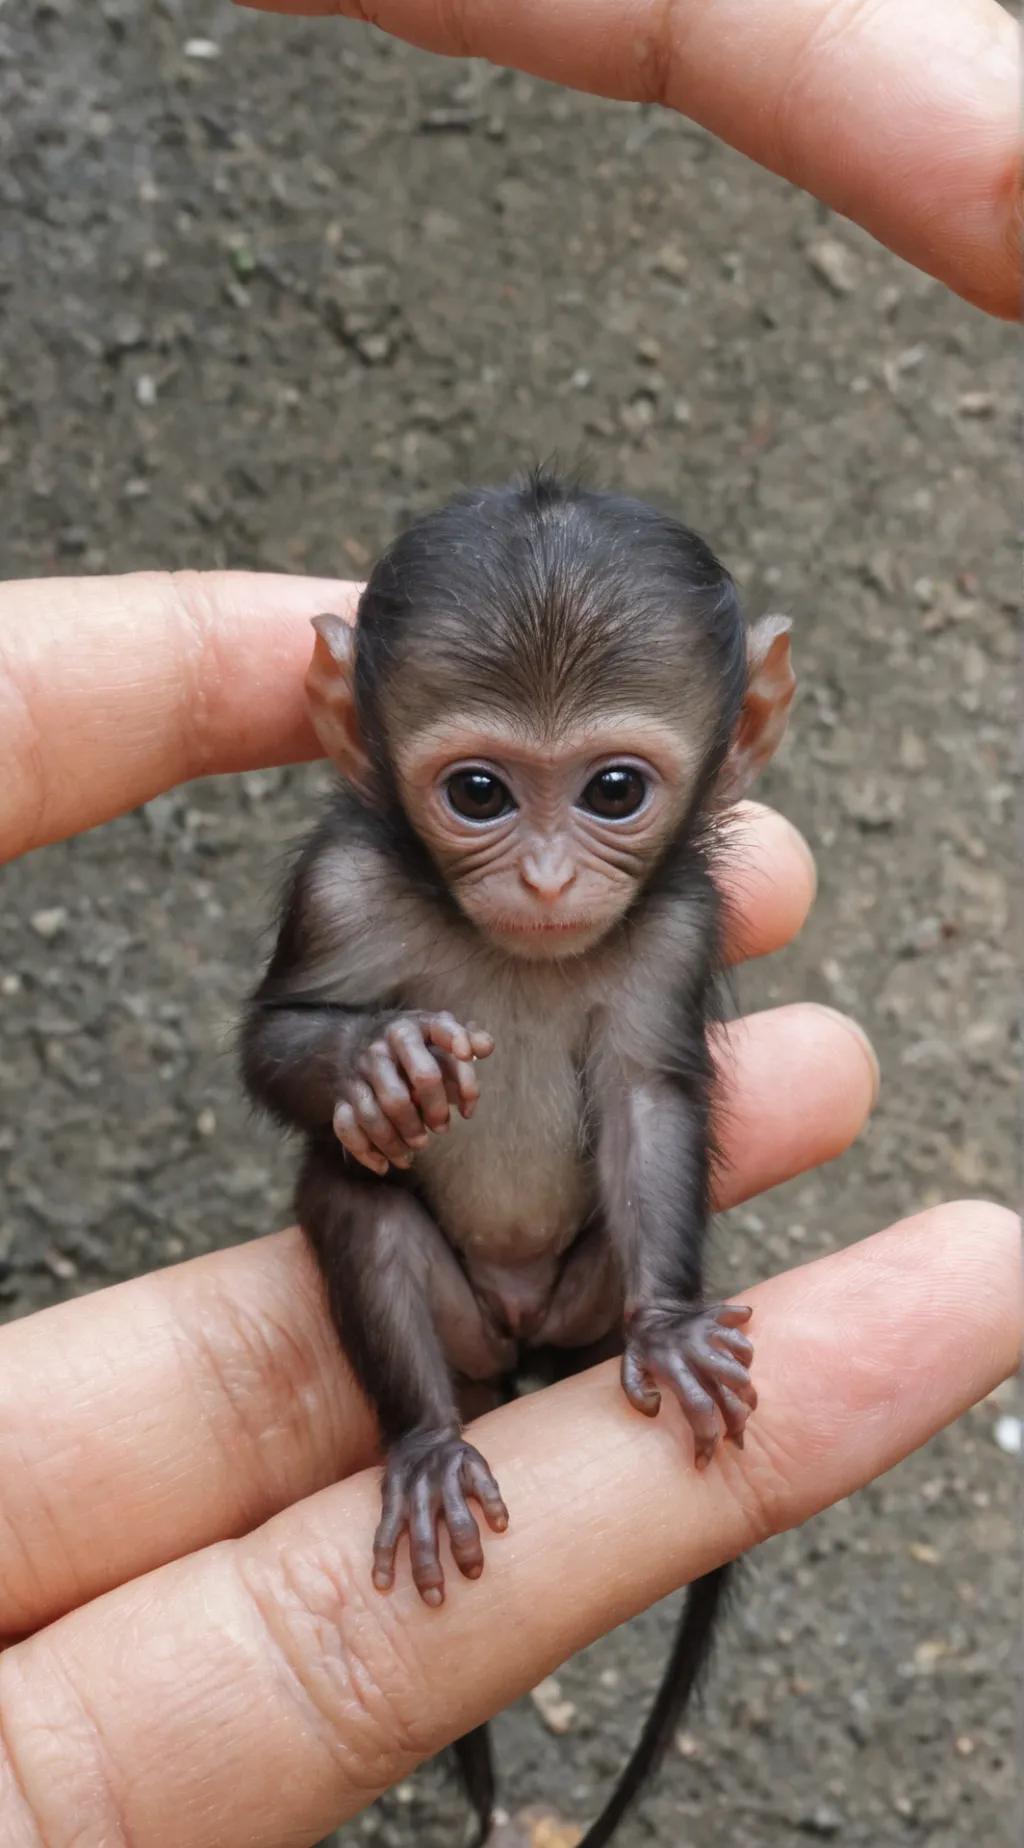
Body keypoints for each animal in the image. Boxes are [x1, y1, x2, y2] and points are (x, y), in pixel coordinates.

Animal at [239, 469, 795, 1847]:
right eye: (480, 794)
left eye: (613, 791)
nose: (543, 878)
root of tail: (520, 1338)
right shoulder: (339, 880)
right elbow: (275, 1042)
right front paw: (384, 1066)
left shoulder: (677, 921)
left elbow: (650, 1099)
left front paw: (669, 1331)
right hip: (457, 1328)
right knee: (353, 1196)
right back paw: (432, 1444)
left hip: (573, 1300)